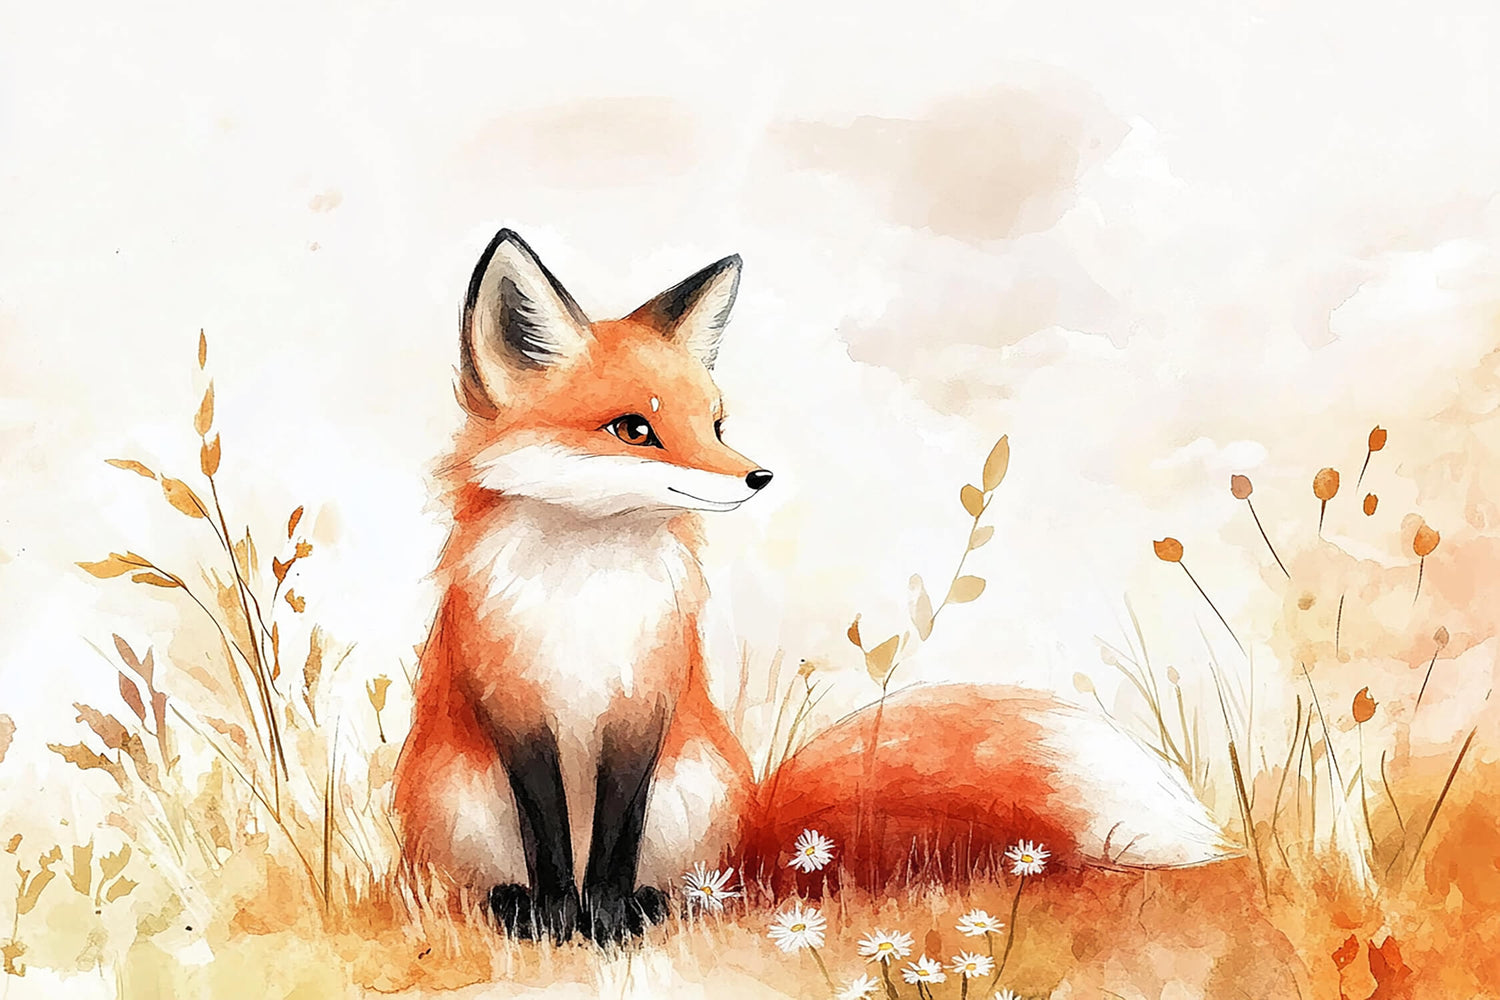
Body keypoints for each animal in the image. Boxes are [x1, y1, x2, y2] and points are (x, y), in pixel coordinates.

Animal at [392, 228, 1234, 945]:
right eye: (634, 429)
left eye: (717, 425)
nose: (758, 476)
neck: (589, 589)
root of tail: (757, 837)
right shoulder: (512, 705)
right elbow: (547, 838)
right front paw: (561, 919)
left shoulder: (645, 705)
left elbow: (613, 839)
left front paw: (606, 918)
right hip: (456, 796)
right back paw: (520, 908)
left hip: (692, 791)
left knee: (690, 885)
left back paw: (654, 905)